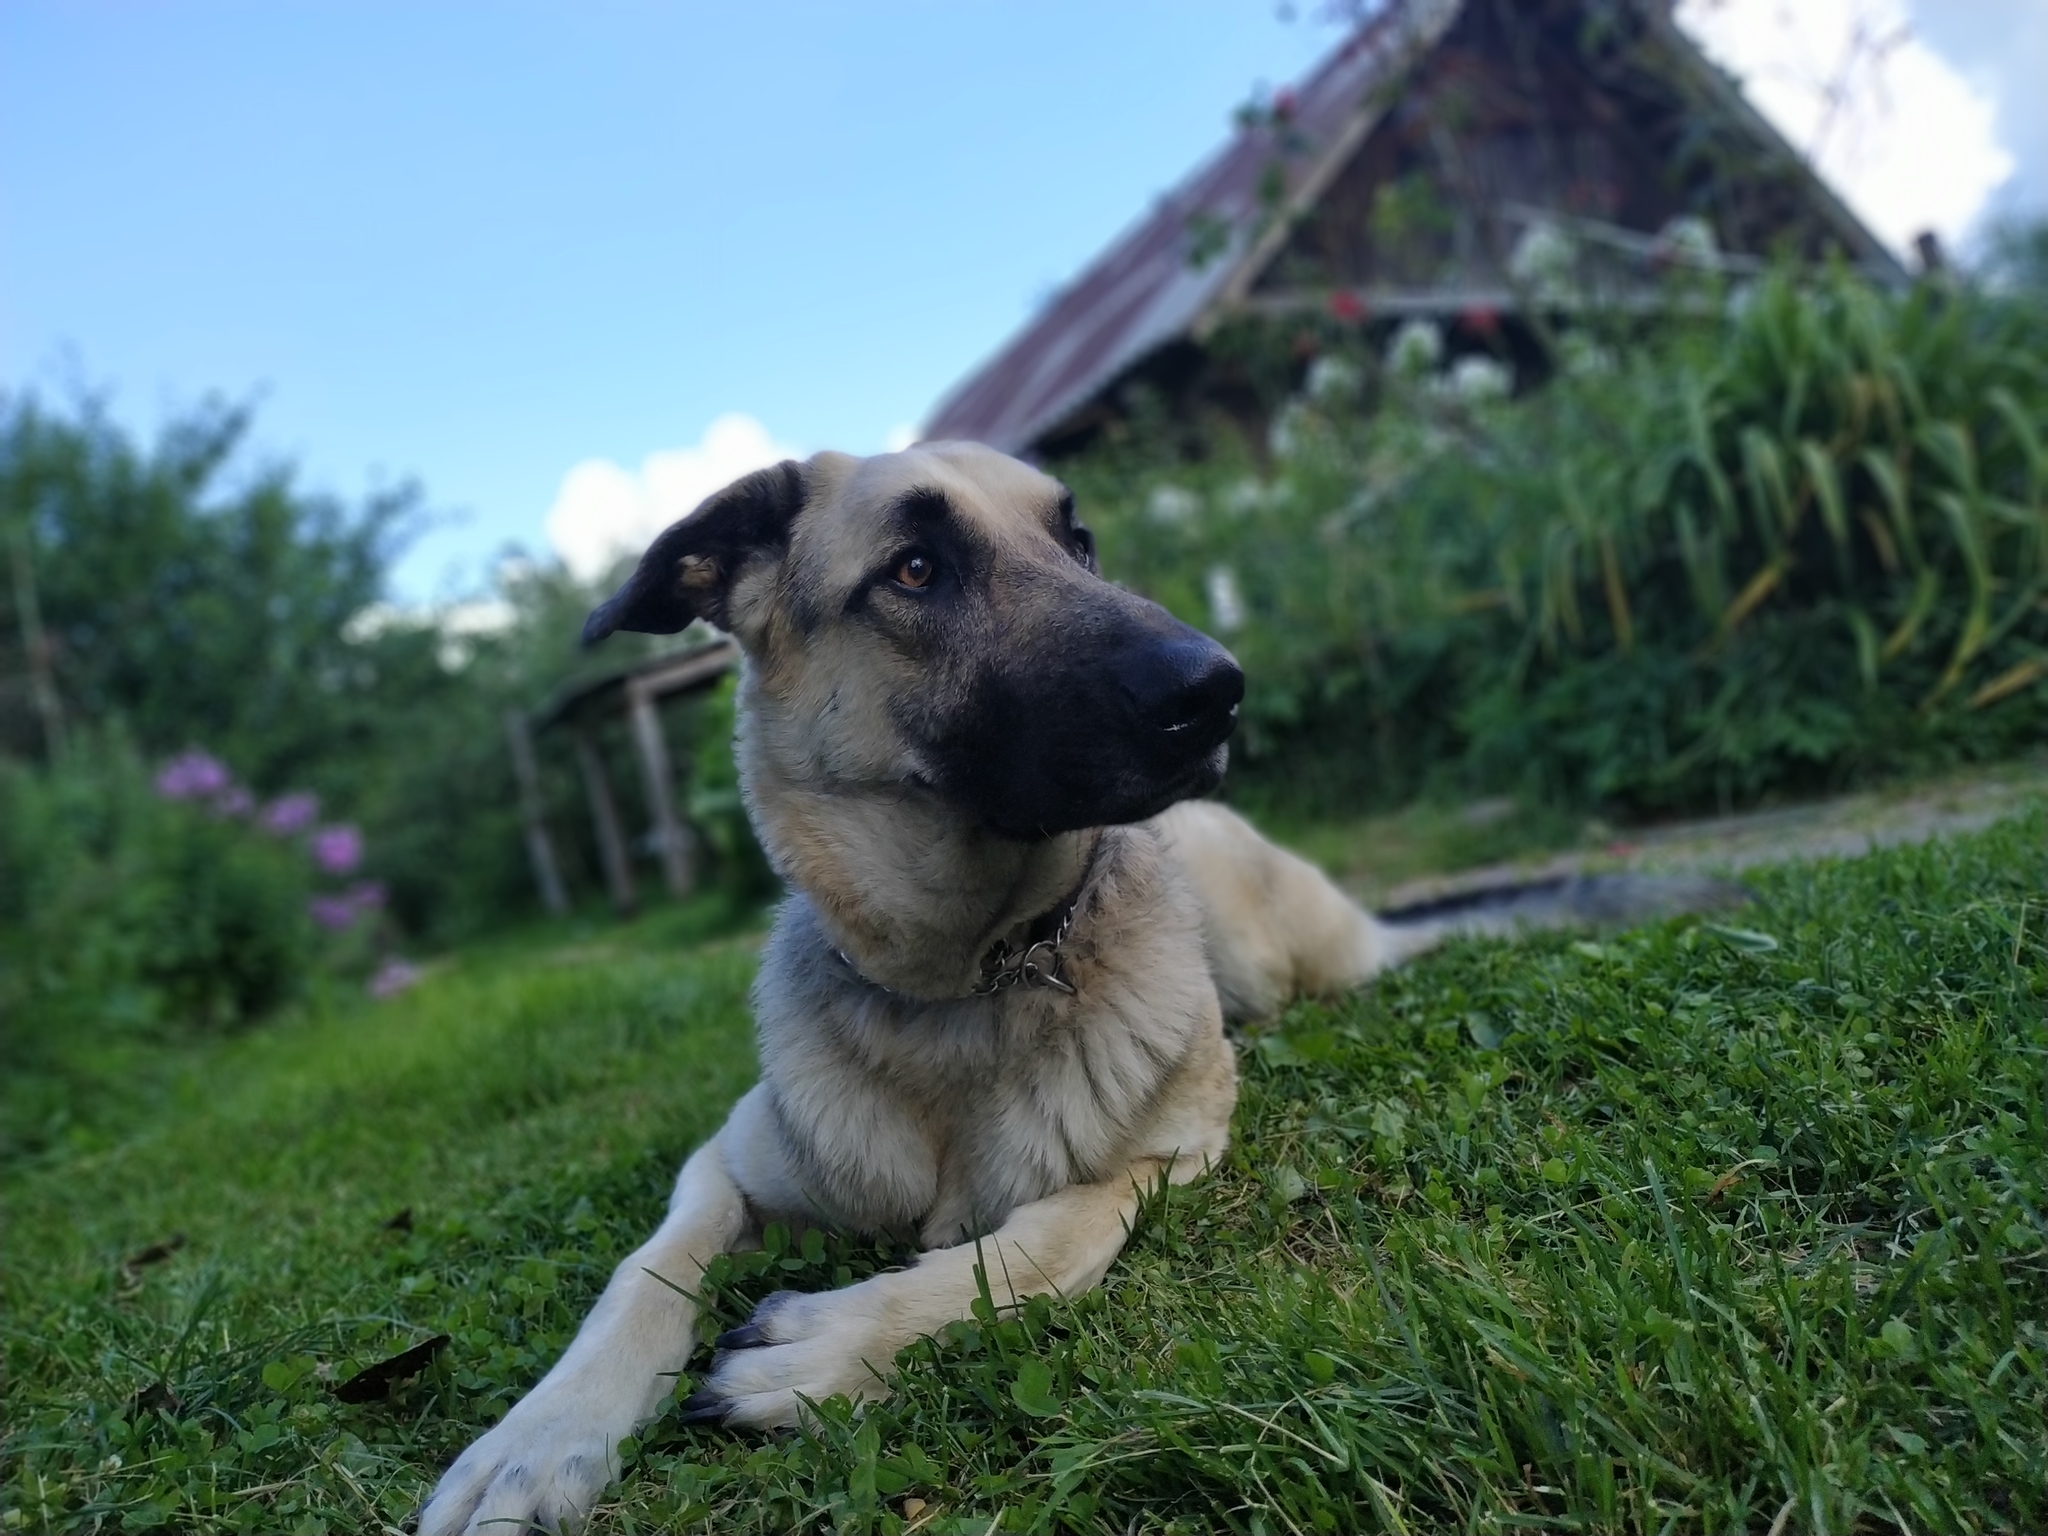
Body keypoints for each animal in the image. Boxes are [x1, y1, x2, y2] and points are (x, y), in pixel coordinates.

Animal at [423, 438, 1736, 1531]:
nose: (1217, 690)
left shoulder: (1160, 1160)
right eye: (913, 568)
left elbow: (1039, 1238)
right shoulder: (727, 1160)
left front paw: (825, 1346)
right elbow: (638, 1276)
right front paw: (539, 1438)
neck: (967, 979)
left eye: (1080, 540)